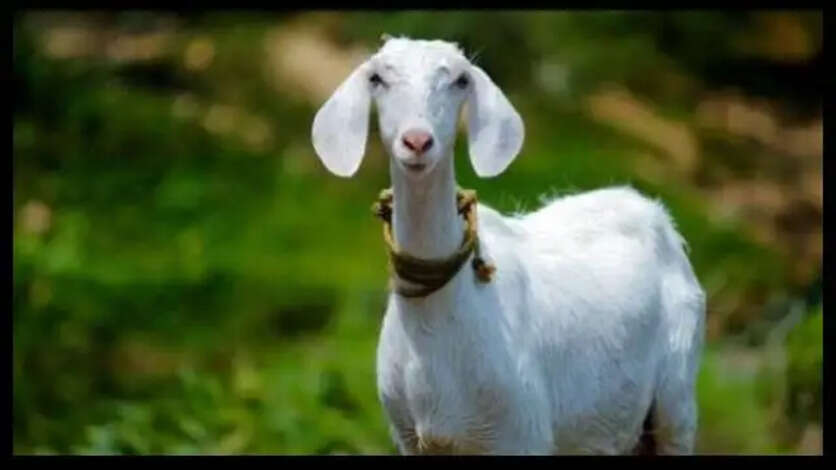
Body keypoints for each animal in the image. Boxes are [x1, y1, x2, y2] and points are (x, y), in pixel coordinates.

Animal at [311, 36, 706, 455]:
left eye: (461, 80)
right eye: (377, 78)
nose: (417, 141)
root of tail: (654, 213)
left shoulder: (521, 432)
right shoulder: (409, 437)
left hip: (677, 394)